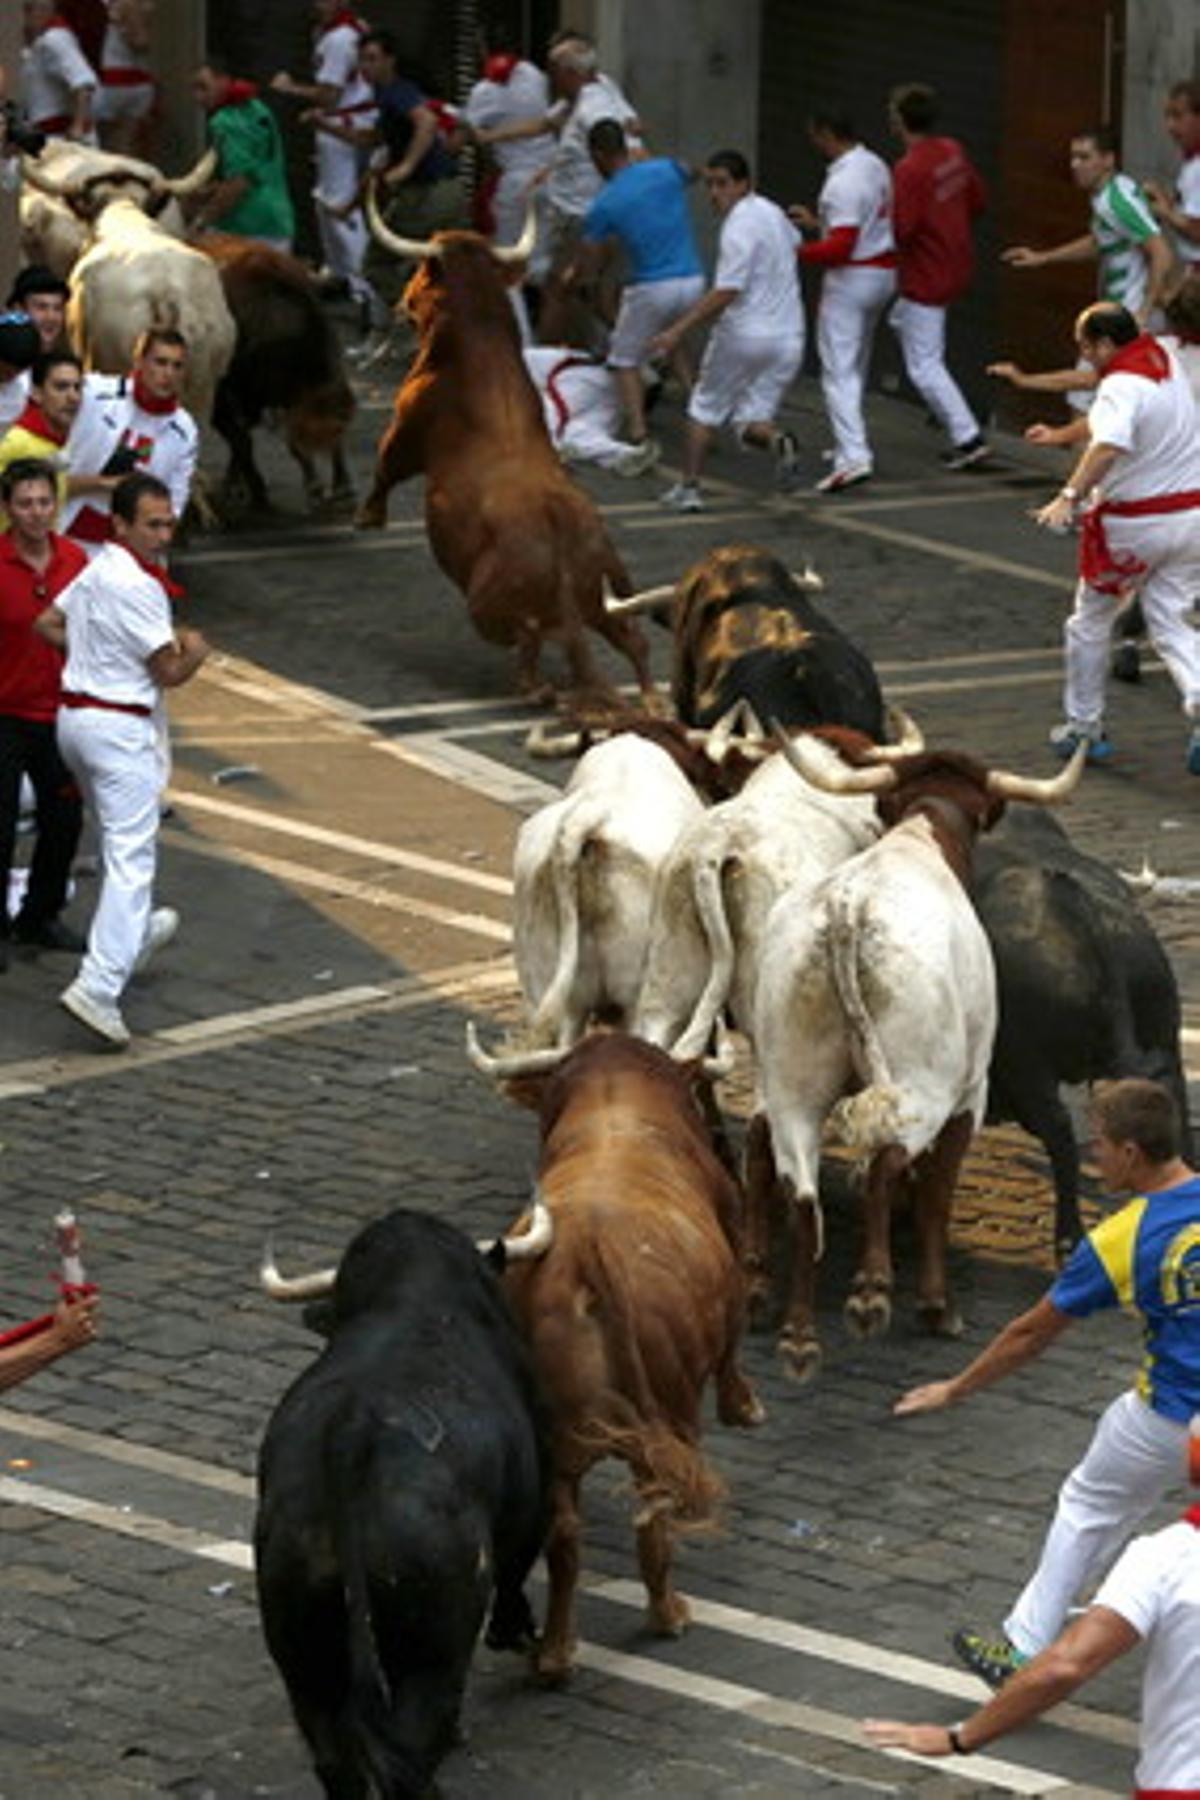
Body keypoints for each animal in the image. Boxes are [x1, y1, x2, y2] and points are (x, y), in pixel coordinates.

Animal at [259, 1209, 554, 1800]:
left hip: (302, 1653)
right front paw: (513, 1632)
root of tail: (352, 1433)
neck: (416, 1298)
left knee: (335, 1758)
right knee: (414, 1747)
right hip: (431, 1652)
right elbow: (516, 1570)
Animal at [356, 200, 658, 712]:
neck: (479, 343)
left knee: (533, 635)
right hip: (603, 597)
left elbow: (385, 467)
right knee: (631, 639)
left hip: (486, 604)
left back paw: (538, 687)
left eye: (420, 272)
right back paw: (652, 699)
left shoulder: (406, 426)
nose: (401, 303)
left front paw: (367, 517)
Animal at [464, 1029, 766, 1684]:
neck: (613, 1103)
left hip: (553, 1442)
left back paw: (555, 1653)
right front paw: (745, 1406)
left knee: (564, 1538)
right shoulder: (733, 1235)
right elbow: (734, 1343)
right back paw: (668, 1613)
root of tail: (584, 1252)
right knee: (652, 1518)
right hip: (671, 1416)